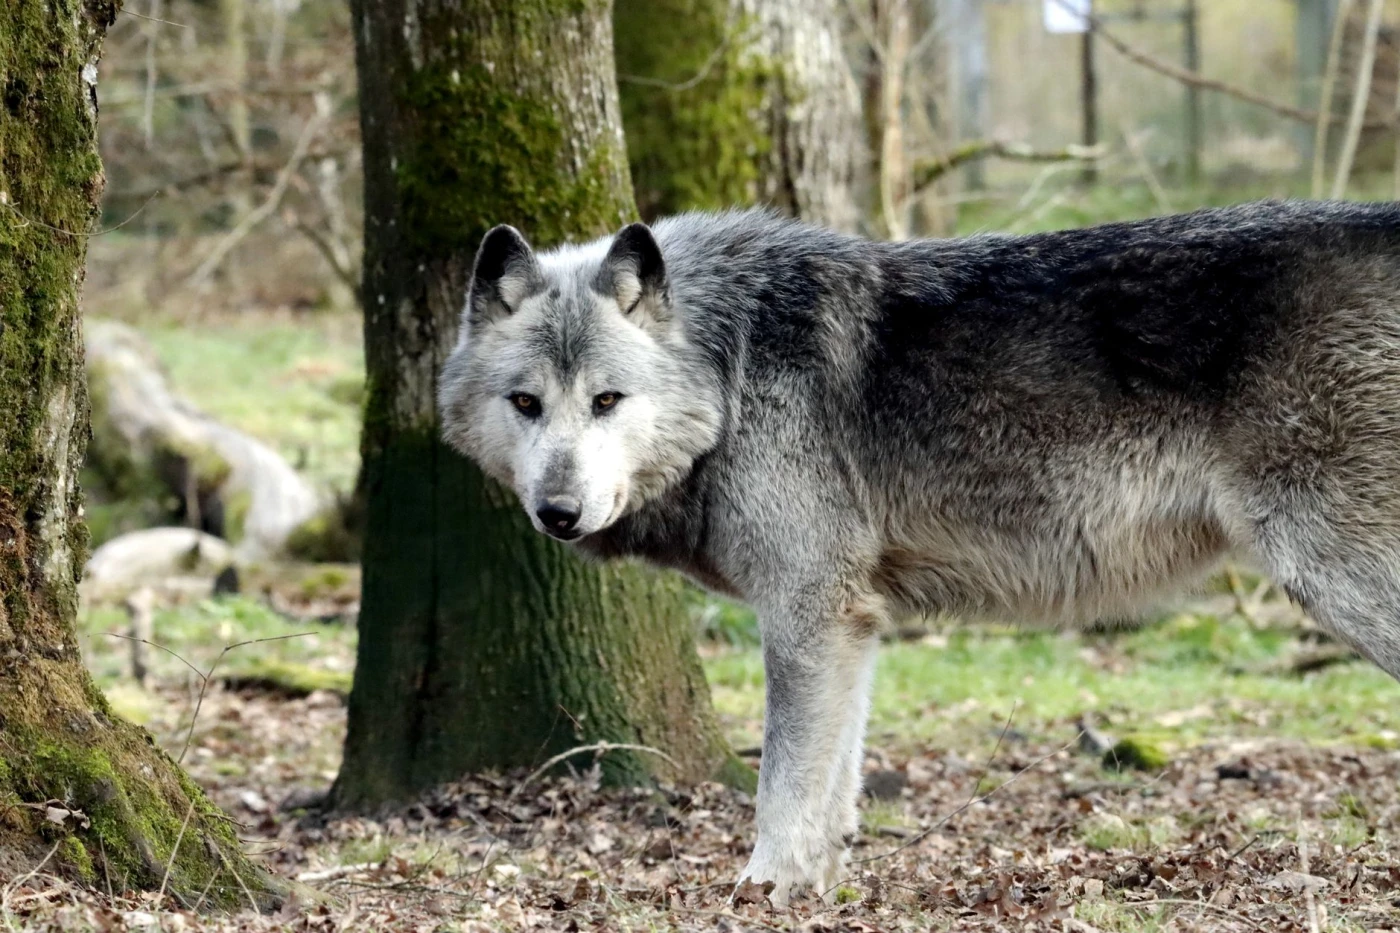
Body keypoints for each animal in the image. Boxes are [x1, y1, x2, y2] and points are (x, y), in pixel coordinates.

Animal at [439, 200, 1400, 904]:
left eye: (607, 400)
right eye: (525, 403)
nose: (558, 512)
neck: (732, 367)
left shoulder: (809, 611)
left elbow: (783, 781)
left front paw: (760, 891)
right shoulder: (855, 623)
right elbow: (833, 786)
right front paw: (814, 891)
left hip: (1339, 579)